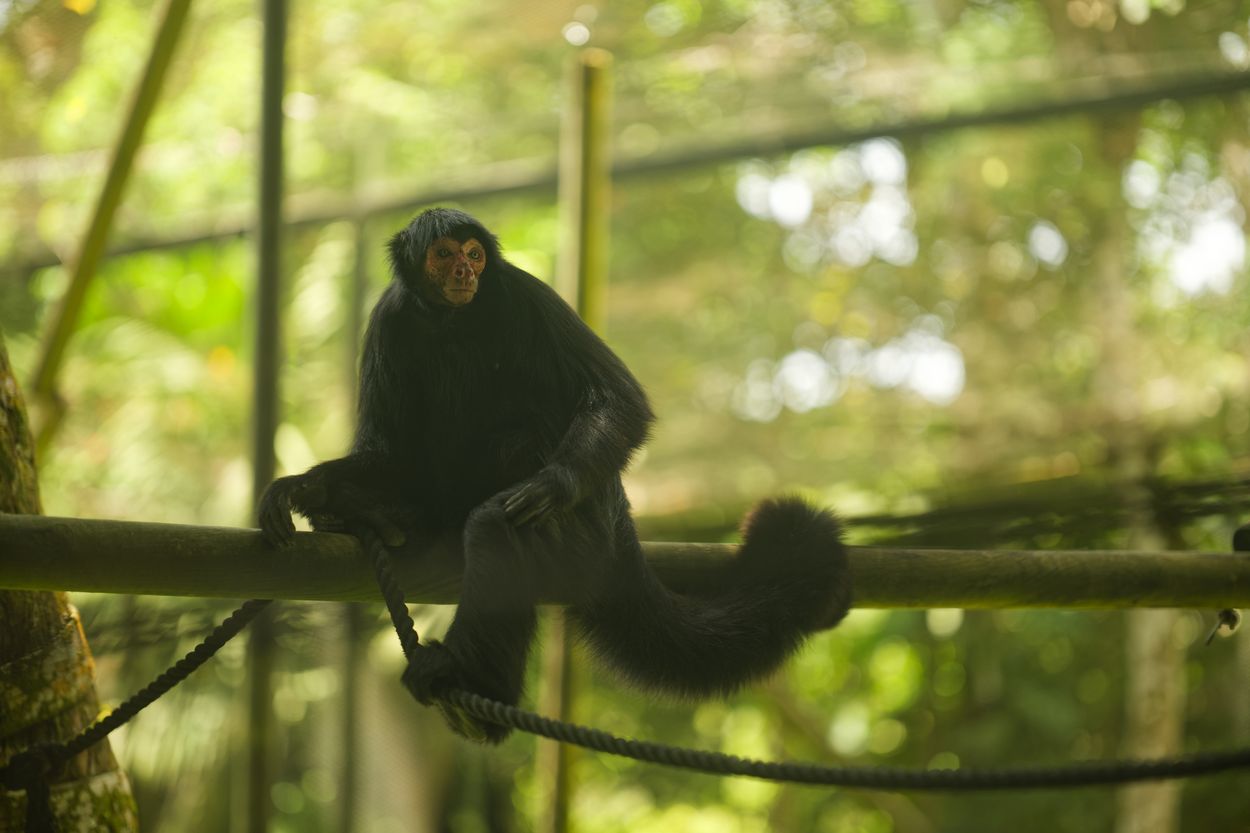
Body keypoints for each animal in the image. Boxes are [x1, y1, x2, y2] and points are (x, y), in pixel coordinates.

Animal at [259, 207, 852, 743]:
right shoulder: (392, 317)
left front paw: (551, 485)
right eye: (444, 254)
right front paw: (304, 488)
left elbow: (620, 401)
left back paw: (475, 687)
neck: (451, 321)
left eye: (474, 255)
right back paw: (377, 515)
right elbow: (387, 451)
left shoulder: (525, 293)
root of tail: (618, 521)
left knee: (502, 496)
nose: (465, 271)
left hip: (582, 522)